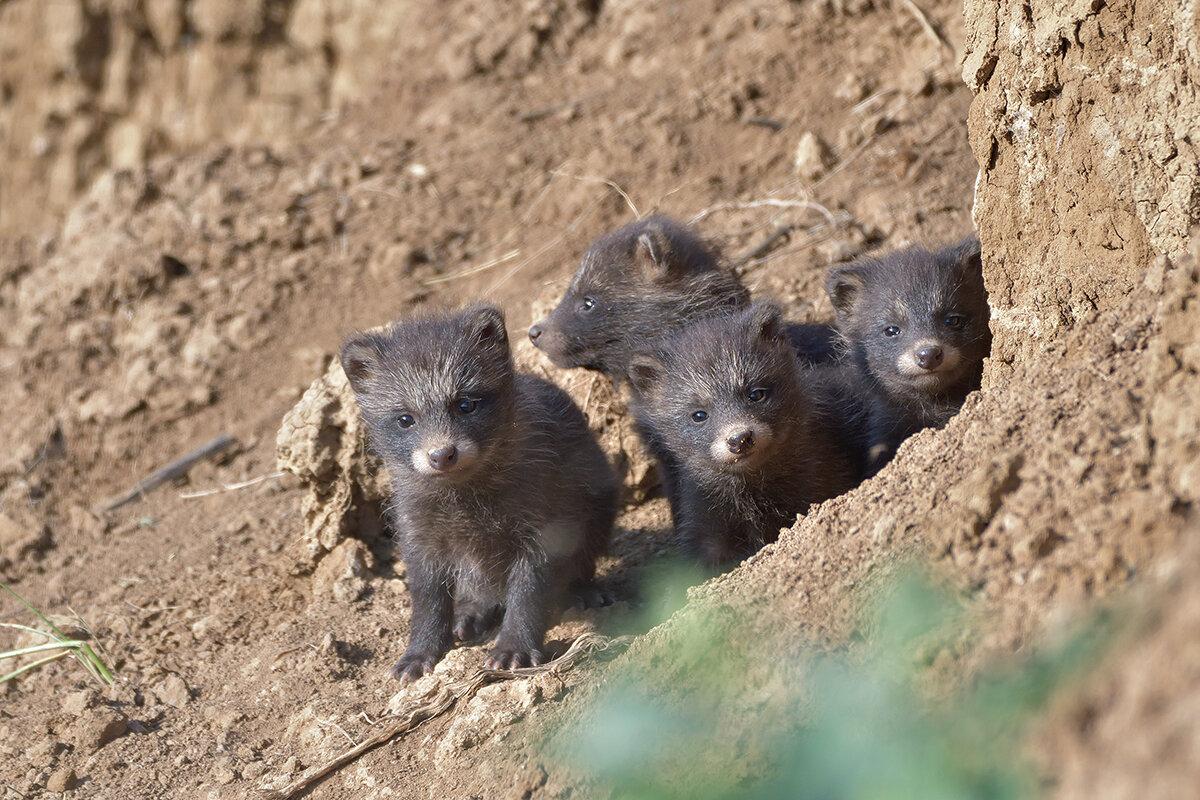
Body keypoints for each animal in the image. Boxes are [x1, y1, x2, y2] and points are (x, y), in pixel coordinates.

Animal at [340, 307, 614, 681]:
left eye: (466, 405)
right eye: (405, 419)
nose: (441, 455)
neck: (466, 499)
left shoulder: (545, 528)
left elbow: (528, 593)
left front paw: (514, 646)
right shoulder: (419, 537)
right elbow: (427, 602)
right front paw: (419, 652)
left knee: (580, 564)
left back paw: (584, 591)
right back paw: (469, 614)